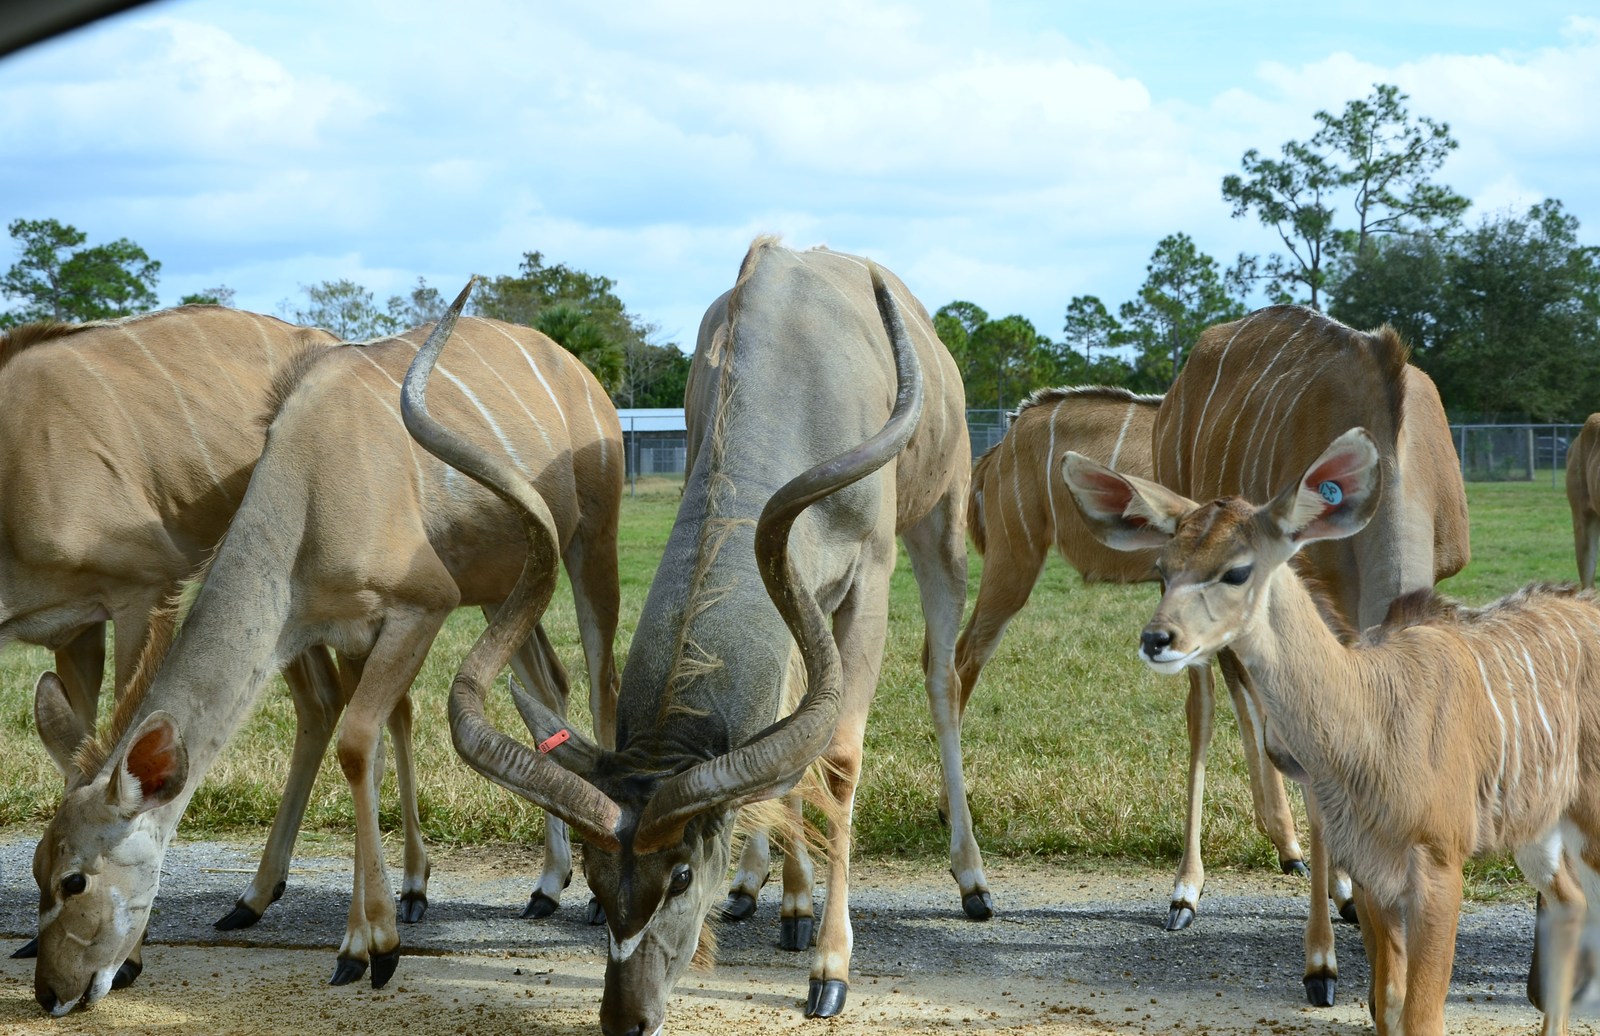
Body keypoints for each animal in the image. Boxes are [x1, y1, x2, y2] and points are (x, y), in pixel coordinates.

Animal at [29, 297, 624, 1010]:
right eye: (34, 868)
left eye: (75, 880)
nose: (51, 992)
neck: (310, 490)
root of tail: (576, 368)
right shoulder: (349, 635)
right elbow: (365, 750)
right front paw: (361, 940)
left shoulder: (421, 607)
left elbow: (356, 744)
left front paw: (376, 946)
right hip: (503, 587)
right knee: (548, 685)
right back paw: (547, 884)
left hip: (590, 547)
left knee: (602, 682)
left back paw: (597, 894)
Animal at [406, 238, 979, 1029]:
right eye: (594, 877)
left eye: (679, 874)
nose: (626, 1018)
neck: (793, 373)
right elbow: (788, 753)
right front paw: (783, 901)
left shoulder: (868, 577)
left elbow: (837, 760)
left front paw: (830, 970)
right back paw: (770, 895)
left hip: (941, 525)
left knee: (942, 681)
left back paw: (969, 881)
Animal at [1068, 428, 1600, 1036]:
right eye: (1162, 568)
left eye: (1237, 570)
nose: (1157, 639)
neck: (1369, 717)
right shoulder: (1371, 877)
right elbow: (1385, 1004)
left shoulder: (1440, 861)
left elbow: (1422, 1016)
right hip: (1537, 826)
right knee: (1570, 900)